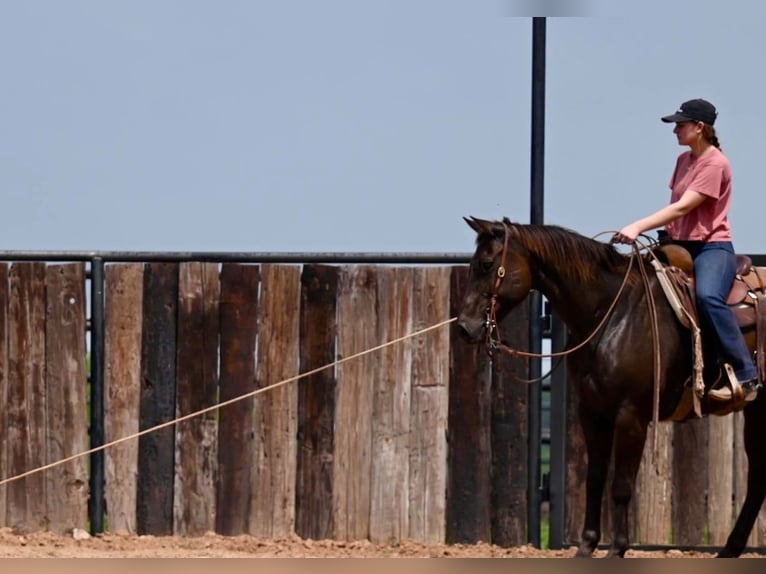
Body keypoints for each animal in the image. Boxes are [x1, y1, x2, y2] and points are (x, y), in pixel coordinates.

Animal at [456, 216, 766, 560]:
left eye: (486, 264)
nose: (465, 327)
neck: (613, 314)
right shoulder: (592, 413)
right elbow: (594, 479)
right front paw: (586, 546)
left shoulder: (631, 416)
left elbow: (621, 485)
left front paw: (617, 548)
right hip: (756, 413)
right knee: (758, 478)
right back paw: (730, 550)